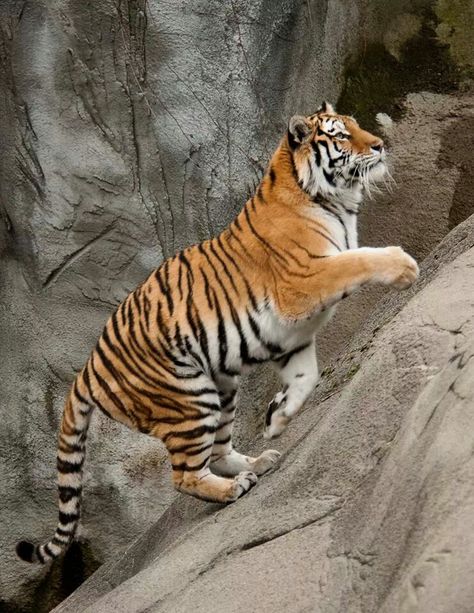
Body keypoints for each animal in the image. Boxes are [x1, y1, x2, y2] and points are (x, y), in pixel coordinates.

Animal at [15, 101, 418, 564]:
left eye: (356, 126)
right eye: (340, 135)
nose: (380, 145)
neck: (332, 199)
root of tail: (86, 368)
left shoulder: (292, 333)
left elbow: (307, 376)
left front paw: (278, 418)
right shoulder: (303, 282)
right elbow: (359, 260)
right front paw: (403, 266)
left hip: (222, 387)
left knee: (221, 450)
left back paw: (259, 461)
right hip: (190, 399)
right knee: (184, 477)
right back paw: (233, 488)